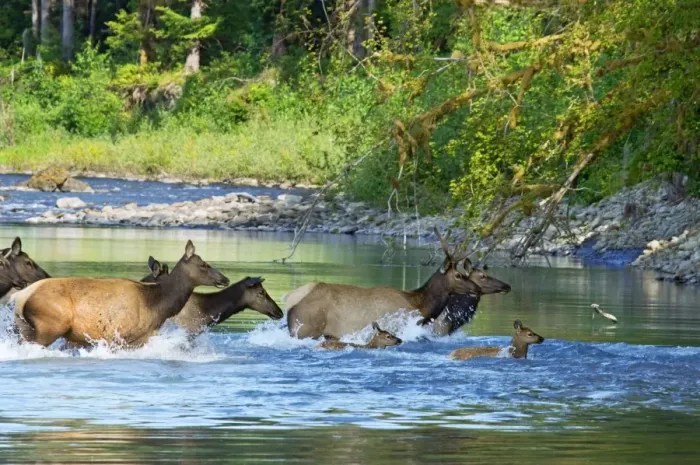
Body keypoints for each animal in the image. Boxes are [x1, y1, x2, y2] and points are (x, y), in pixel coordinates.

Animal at [11, 240, 229, 348]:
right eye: (204, 264)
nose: (225, 279)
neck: (157, 305)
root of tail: (20, 298)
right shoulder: (119, 336)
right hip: (50, 325)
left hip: (24, 327)